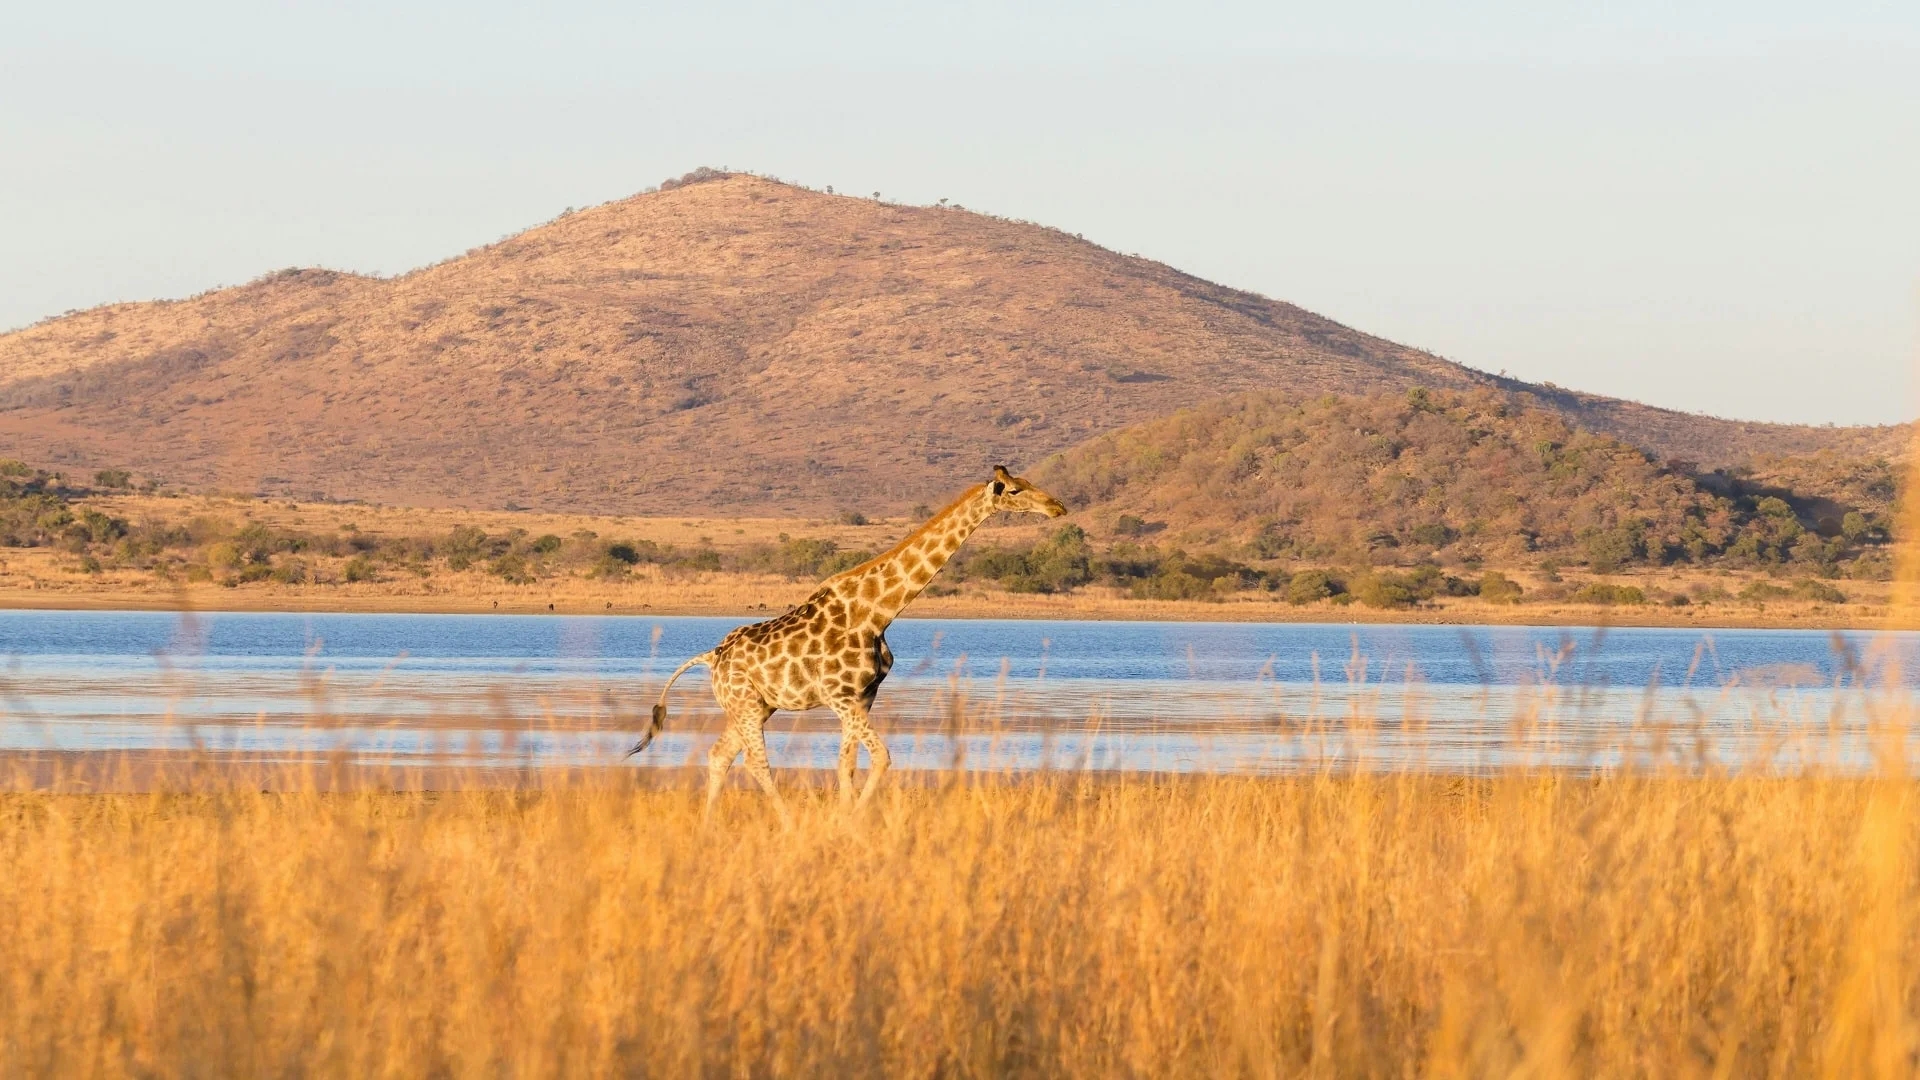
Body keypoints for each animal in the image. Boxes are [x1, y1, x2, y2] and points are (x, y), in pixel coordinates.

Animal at [637, 463, 1075, 814]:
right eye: (1014, 491)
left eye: (1028, 481)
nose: (1058, 506)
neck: (876, 613)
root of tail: (712, 656)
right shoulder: (841, 698)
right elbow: (881, 758)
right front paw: (854, 821)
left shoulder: (863, 697)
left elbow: (846, 765)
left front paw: (845, 820)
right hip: (745, 705)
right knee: (755, 763)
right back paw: (787, 825)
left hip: (756, 706)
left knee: (718, 756)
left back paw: (708, 826)